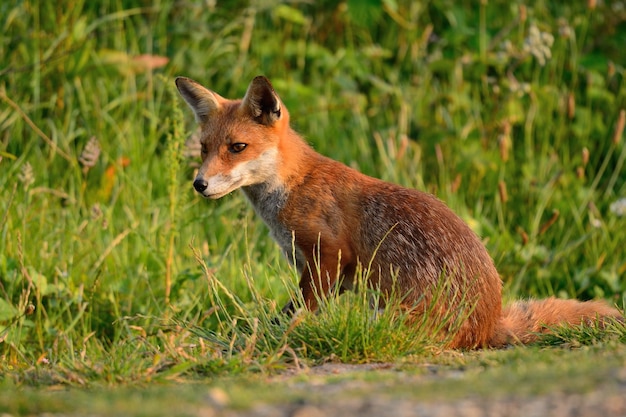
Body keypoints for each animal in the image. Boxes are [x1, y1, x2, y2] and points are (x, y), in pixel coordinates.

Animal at [174, 75, 620, 348]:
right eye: (205, 148)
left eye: (237, 148)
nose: (199, 184)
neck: (294, 186)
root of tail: (490, 321)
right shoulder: (327, 272)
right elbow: (287, 313)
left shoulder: (329, 256)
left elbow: (295, 313)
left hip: (392, 312)